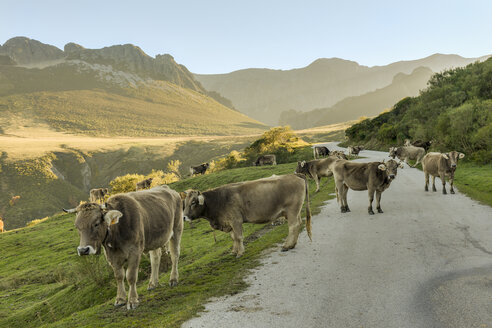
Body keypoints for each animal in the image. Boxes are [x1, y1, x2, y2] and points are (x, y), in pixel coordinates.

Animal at [181, 176, 312, 258]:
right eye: (184, 203)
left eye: (193, 202)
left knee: (293, 226)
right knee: (298, 224)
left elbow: (239, 237)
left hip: (292, 210)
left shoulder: (236, 220)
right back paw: (292, 244)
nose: (184, 217)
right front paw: (234, 251)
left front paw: (240, 253)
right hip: (294, 212)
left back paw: (287, 245)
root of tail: (296, 176)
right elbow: (233, 237)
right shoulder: (229, 222)